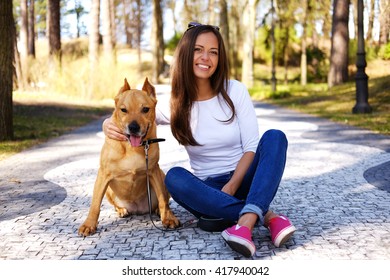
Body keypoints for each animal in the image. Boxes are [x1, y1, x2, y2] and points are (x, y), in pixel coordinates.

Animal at [79, 77, 180, 236]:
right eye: (123, 110)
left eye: (145, 109)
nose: (133, 127)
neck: (132, 148)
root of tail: (137, 209)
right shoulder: (103, 175)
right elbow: (95, 204)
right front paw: (89, 224)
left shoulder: (153, 171)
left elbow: (163, 199)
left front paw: (168, 218)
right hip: (109, 190)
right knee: (114, 205)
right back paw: (121, 210)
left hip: (162, 176)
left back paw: (158, 211)